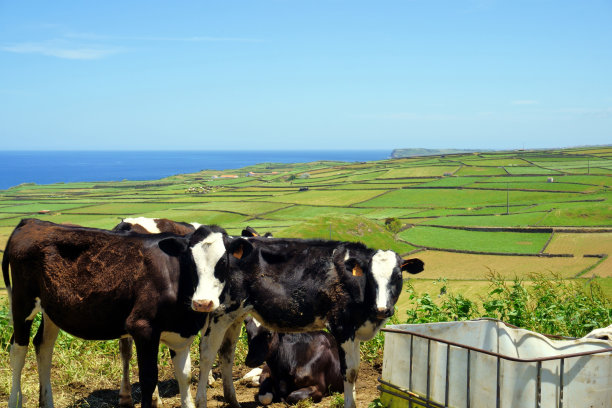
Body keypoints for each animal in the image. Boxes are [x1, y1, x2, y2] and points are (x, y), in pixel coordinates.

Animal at [3, 220, 228, 408]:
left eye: (223, 263)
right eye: (190, 260)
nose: (203, 303)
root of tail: (31, 221)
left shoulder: (180, 335)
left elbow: (185, 376)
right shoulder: (143, 327)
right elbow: (148, 379)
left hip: (51, 310)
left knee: (43, 346)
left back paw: (47, 402)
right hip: (22, 301)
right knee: (18, 350)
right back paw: (14, 402)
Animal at [189, 236, 424, 408]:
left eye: (398, 277)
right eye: (371, 277)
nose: (382, 309)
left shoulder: (354, 331)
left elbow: (355, 371)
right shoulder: (341, 326)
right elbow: (348, 371)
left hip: (234, 315)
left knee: (226, 354)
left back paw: (233, 401)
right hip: (219, 312)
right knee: (207, 354)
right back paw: (201, 401)